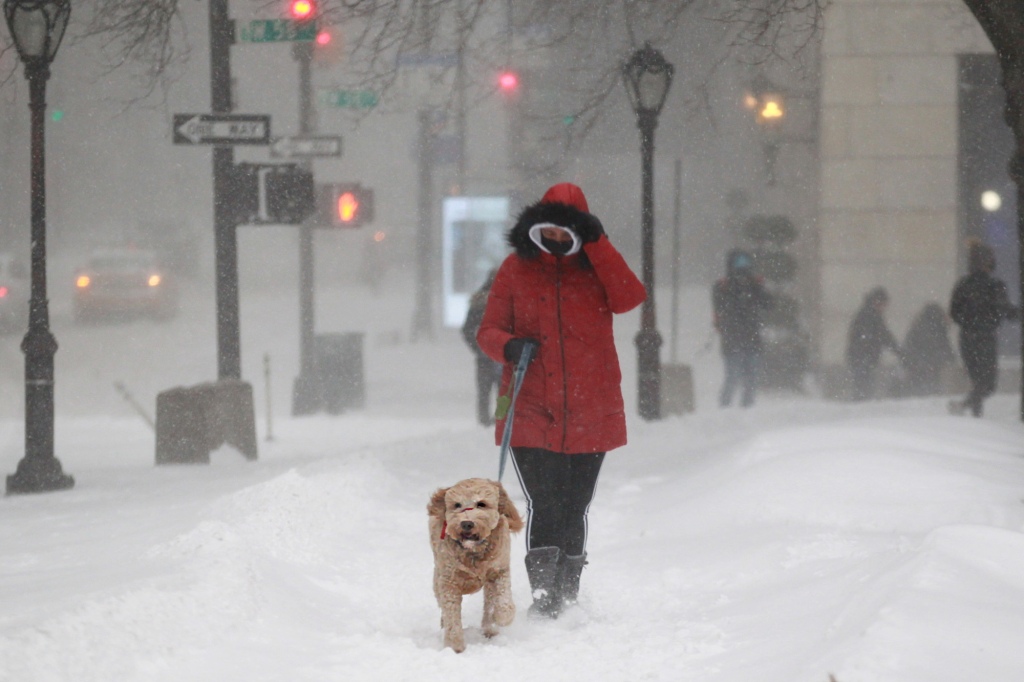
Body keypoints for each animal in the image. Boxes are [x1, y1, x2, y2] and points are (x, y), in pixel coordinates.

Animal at [428, 475, 524, 651]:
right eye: (457, 505)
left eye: (481, 504)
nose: (467, 523)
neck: (473, 551)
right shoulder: (448, 580)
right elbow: (451, 614)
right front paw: (455, 645)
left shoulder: (499, 569)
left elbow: (503, 598)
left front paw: (502, 617)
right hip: (438, 577)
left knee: (489, 602)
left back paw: (490, 628)